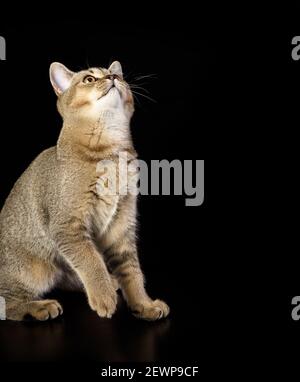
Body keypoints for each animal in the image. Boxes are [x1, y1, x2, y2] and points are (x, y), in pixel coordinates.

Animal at [0, 61, 169, 320]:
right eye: (89, 79)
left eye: (117, 75)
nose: (112, 77)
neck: (111, 154)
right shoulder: (67, 226)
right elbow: (91, 260)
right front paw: (103, 296)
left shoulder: (122, 226)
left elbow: (132, 270)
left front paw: (143, 305)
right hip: (32, 270)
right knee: (8, 303)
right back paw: (40, 306)